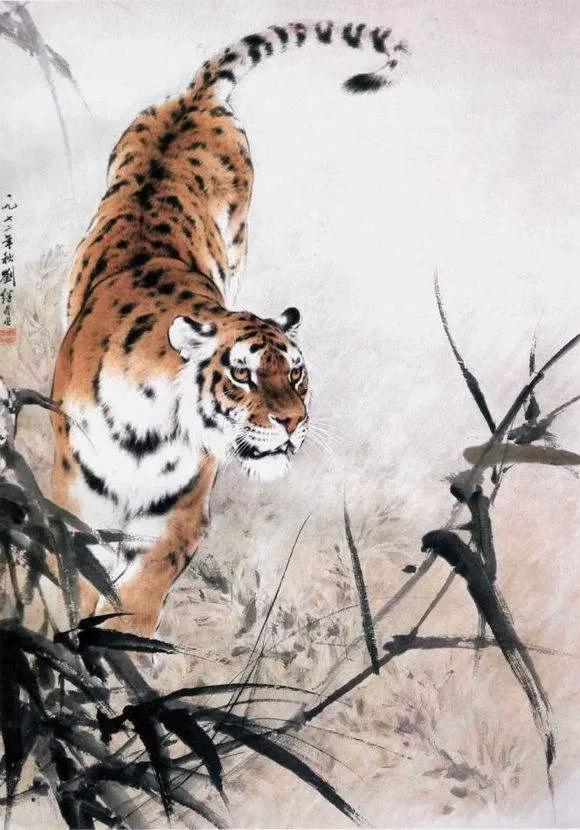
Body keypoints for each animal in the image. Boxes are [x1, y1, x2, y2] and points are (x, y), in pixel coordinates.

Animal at [51, 21, 409, 634]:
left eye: (298, 375)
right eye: (242, 375)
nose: (294, 423)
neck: (149, 432)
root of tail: (197, 97)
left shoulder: (175, 520)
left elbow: (133, 605)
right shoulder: (75, 502)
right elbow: (71, 584)